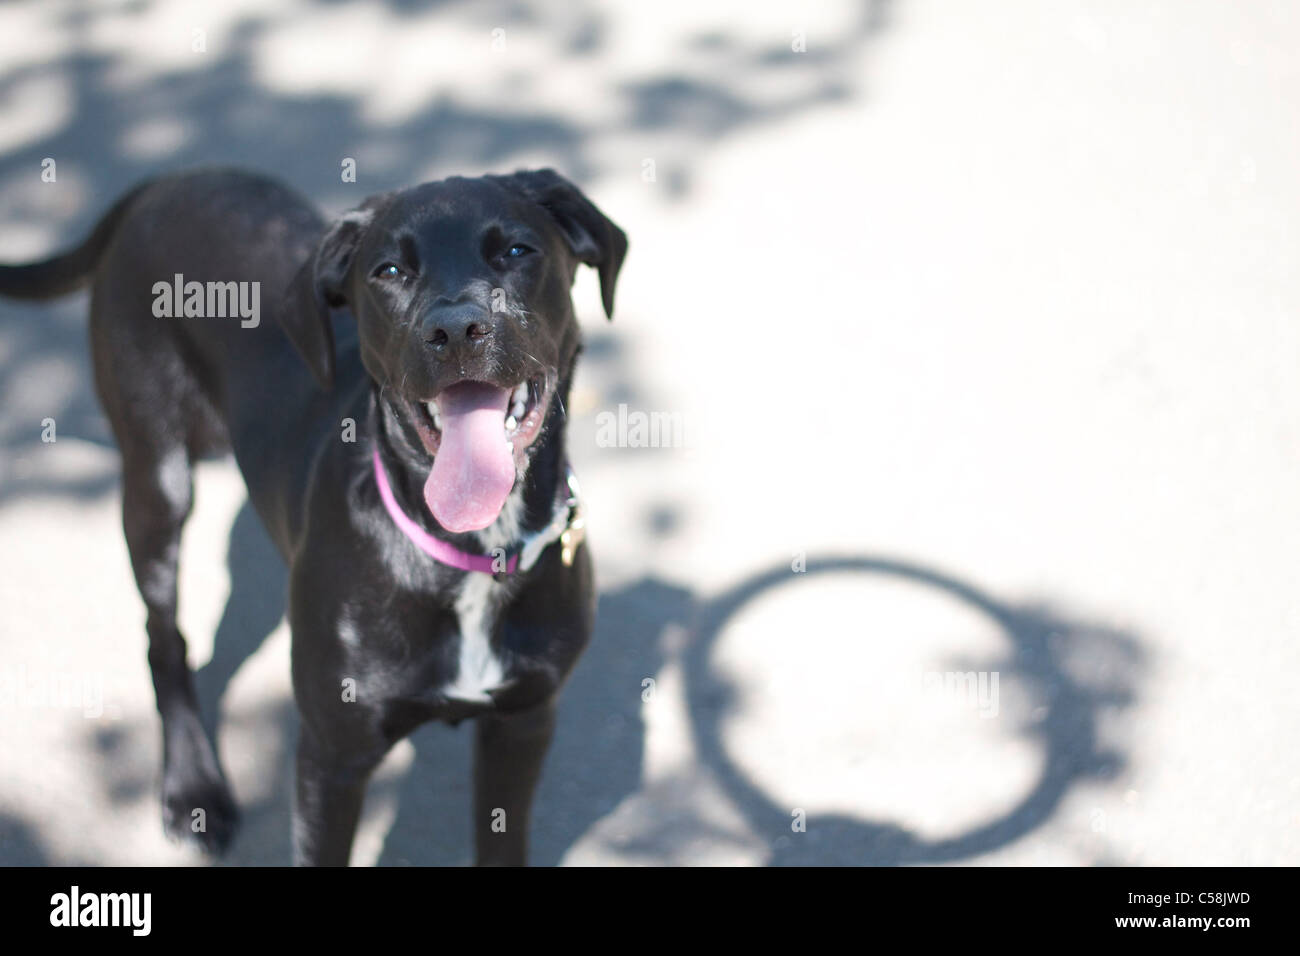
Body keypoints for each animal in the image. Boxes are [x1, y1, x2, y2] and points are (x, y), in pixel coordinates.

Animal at [0, 167, 629, 863]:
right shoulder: (331, 761)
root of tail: (165, 181)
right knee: (163, 638)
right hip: (156, 481)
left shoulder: (523, 723)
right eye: (388, 271)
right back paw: (192, 788)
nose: (456, 331)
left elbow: (503, 839)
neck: (466, 553)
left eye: (517, 251)